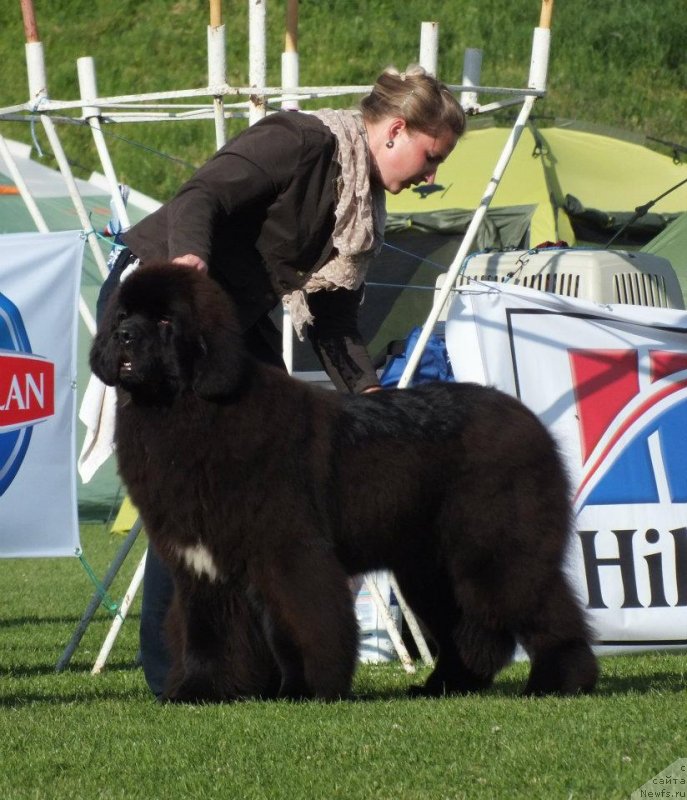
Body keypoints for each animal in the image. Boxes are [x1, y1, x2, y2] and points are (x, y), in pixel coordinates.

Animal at [90, 264, 596, 700]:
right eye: (123, 315)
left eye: (164, 320)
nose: (123, 336)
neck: (185, 413)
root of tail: (527, 419)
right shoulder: (201, 563)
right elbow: (207, 633)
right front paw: (199, 691)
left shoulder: (289, 552)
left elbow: (305, 622)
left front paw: (306, 689)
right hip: (429, 567)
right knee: (471, 632)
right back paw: (445, 684)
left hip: (497, 549)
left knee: (548, 610)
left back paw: (560, 680)